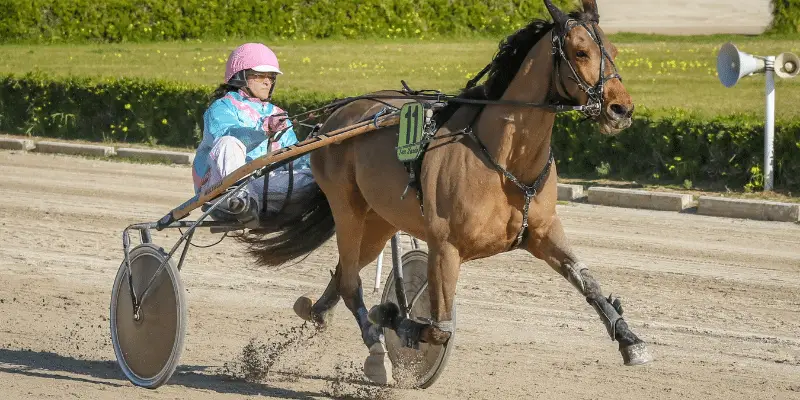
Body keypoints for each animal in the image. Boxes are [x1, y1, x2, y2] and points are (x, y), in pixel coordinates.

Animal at [241, 0, 652, 384]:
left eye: (613, 50)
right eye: (580, 52)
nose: (621, 109)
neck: (506, 160)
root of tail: (335, 119)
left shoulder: (543, 231)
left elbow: (587, 280)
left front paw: (631, 340)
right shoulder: (445, 246)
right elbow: (438, 328)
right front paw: (394, 316)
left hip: (380, 221)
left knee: (345, 273)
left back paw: (315, 310)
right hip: (348, 209)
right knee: (351, 283)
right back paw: (376, 351)